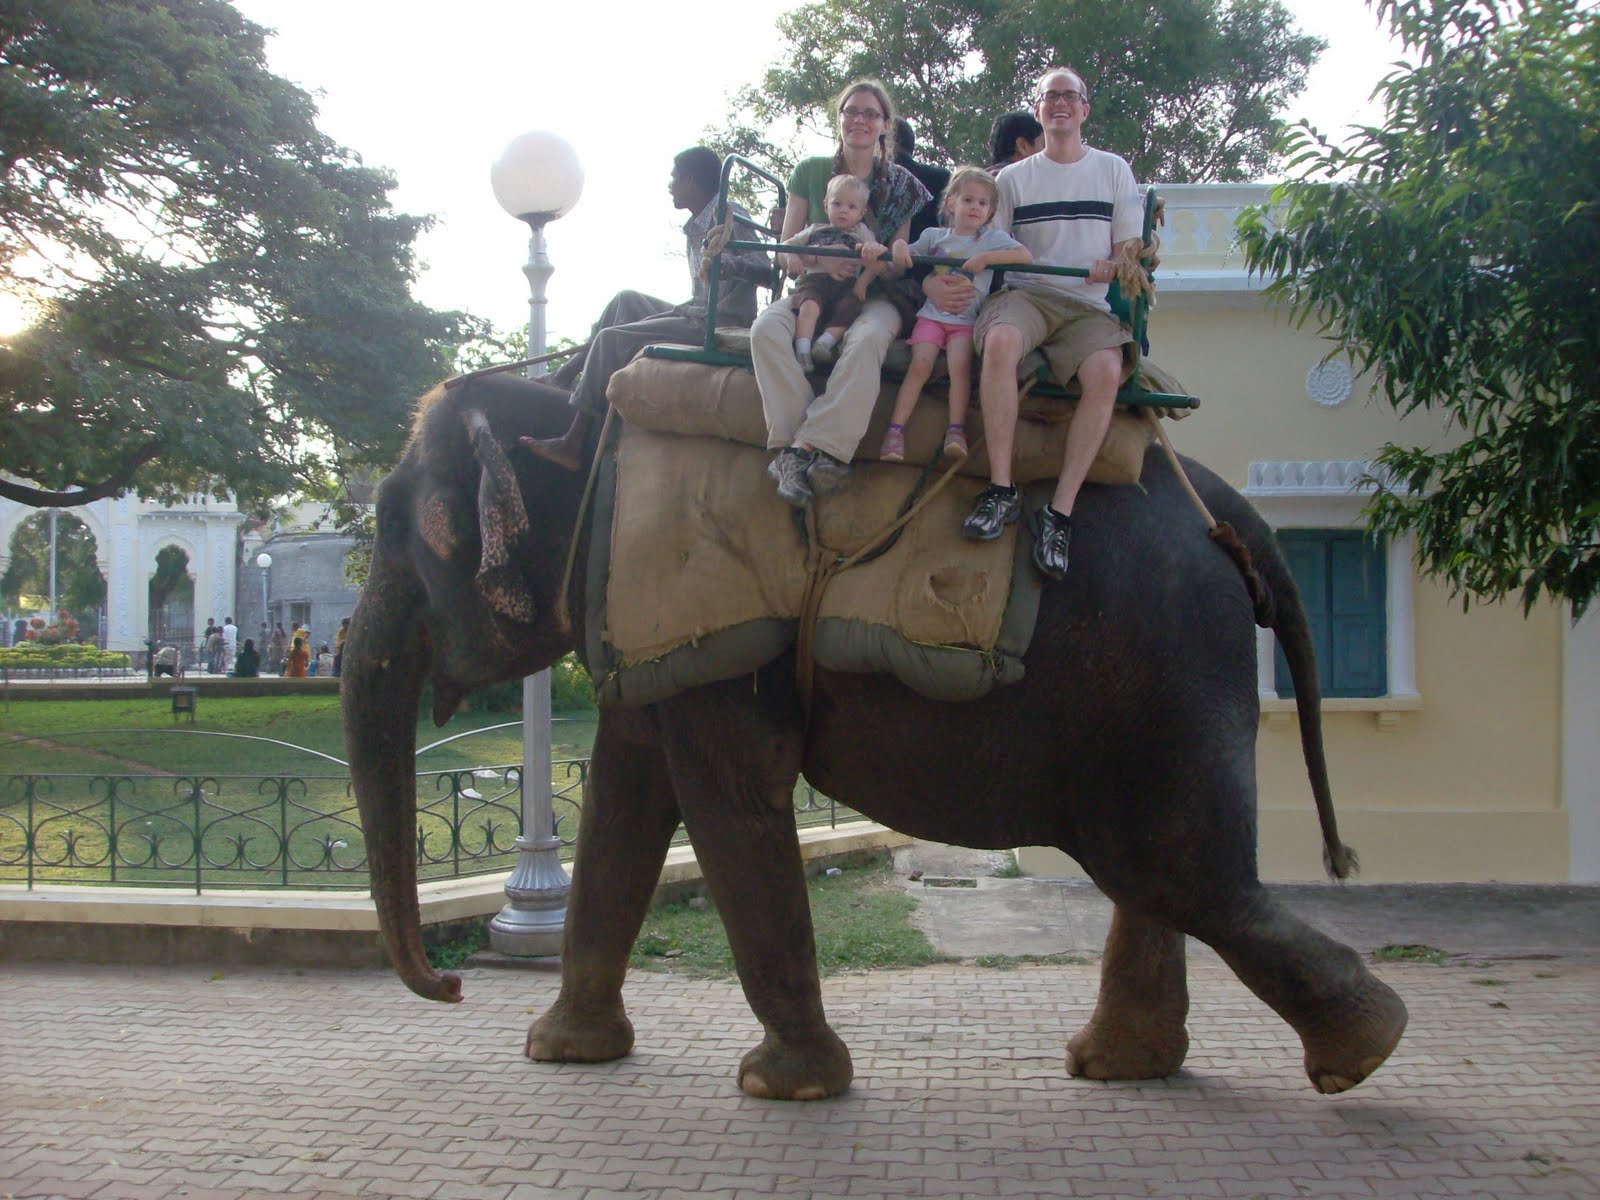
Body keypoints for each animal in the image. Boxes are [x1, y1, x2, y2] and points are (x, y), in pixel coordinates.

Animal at [342, 369, 1408, 1100]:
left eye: (393, 527)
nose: (451, 986)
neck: (571, 410)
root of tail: (1226, 510)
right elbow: (624, 797)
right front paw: (562, 1053)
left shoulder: (710, 639)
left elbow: (729, 799)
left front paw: (783, 1085)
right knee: (1157, 872)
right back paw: (1123, 1066)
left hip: (1163, 663)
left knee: (1181, 872)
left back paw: (1364, 1053)